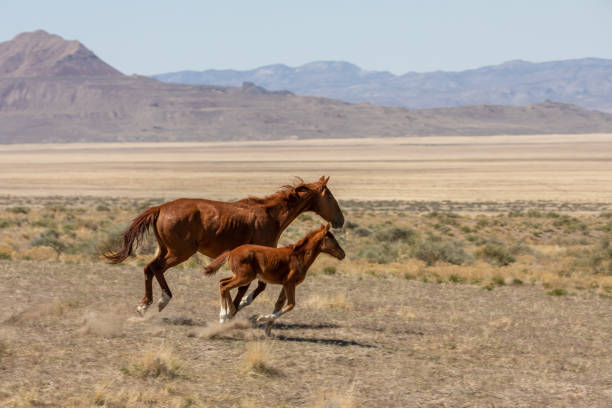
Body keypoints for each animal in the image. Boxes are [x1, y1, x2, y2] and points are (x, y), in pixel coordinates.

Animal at [105, 176, 344, 316]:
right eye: (330, 197)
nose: (340, 220)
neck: (271, 215)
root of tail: (160, 208)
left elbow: (251, 286)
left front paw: (234, 308)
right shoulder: (258, 259)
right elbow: (252, 287)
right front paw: (236, 308)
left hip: (164, 249)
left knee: (148, 268)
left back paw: (145, 304)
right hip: (179, 252)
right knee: (156, 268)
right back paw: (163, 300)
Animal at [204, 225, 344, 336]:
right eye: (332, 239)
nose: (343, 254)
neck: (299, 257)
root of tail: (232, 252)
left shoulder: (287, 285)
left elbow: (279, 304)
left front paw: (268, 331)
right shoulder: (289, 283)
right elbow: (291, 304)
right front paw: (261, 318)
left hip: (239, 276)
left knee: (222, 282)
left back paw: (231, 311)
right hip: (245, 277)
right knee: (224, 286)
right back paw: (223, 316)